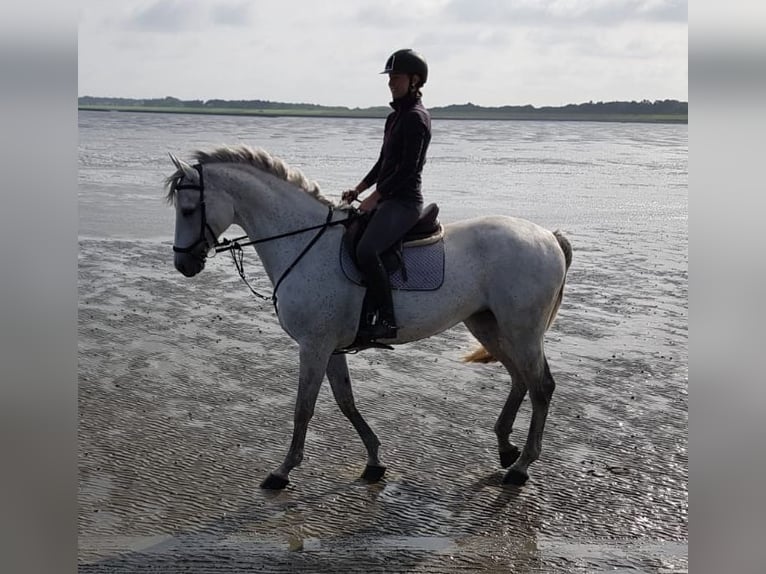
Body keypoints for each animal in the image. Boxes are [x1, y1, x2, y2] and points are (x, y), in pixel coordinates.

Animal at [170, 144, 576, 490]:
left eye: (188, 210)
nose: (183, 265)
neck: (303, 243)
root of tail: (548, 236)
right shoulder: (329, 347)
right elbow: (346, 402)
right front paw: (374, 461)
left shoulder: (314, 345)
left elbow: (304, 408)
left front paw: (282, 471)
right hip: (487, 323)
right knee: (519, 378)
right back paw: (506, 449)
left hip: (522, 330)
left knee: (541, 386)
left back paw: (521, 466)